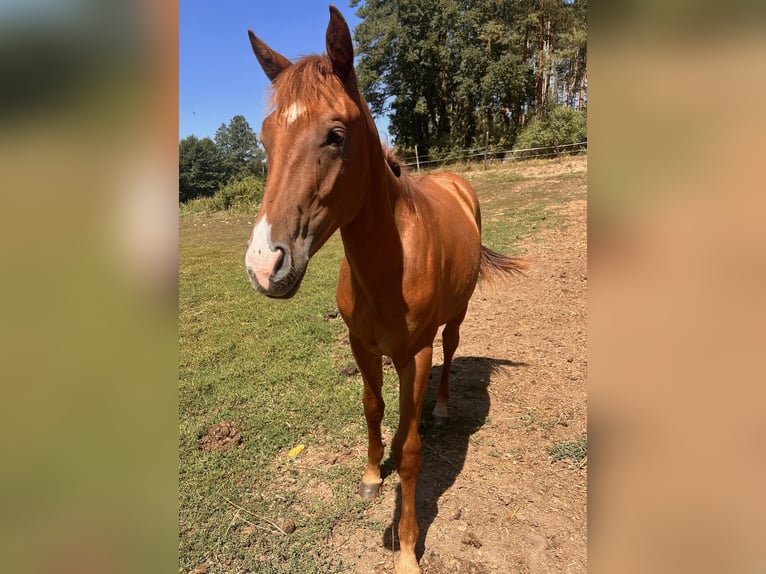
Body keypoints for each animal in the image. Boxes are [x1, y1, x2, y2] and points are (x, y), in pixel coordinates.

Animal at [246, 5, 528, 574]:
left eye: (335, 134)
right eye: (265, 138)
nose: (264, 264)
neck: (386, 267)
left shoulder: (413, 354)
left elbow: (413, 448)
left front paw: (406, 549)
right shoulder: (362, 346)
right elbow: (373, 408)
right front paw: (374, 475)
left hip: (455, 317)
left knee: (450, 351)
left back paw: (440, 408)